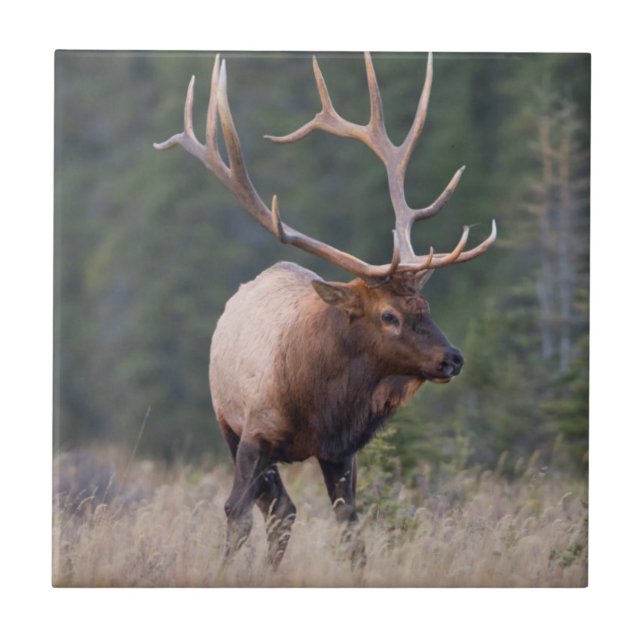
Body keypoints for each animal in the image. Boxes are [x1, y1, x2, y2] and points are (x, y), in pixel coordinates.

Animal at [154, 52, 496, 570]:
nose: (452, 358)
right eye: (389, 315)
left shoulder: (341, 451)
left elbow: (351, 530)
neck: (318, 402)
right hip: (226, 422)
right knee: (276, 509)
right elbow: (236, 514)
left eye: (426, 304)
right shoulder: (253, 433)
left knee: (285, 511)